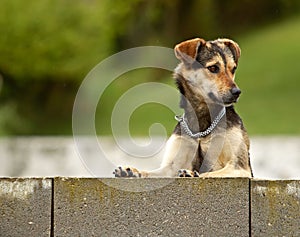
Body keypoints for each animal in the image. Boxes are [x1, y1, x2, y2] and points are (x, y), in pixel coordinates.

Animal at [113, 37, 252, 178]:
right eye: (213, 68)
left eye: (233, 69)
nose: (237, 92)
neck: (202, 121)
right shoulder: (171, 167)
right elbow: (150, 172)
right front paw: (133, 171)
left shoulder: (239, 167)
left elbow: (207, 174)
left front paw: (193, 174)